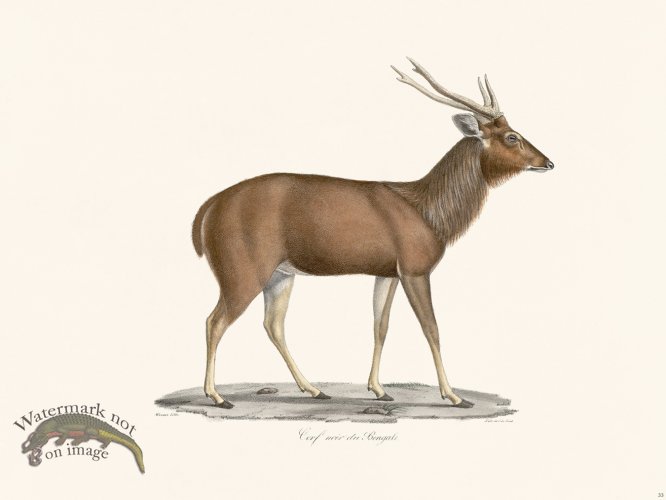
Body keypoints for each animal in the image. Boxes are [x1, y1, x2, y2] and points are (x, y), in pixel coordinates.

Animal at [192, 58, 554, 409]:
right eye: (511, 136)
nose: (548, 162)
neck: (430, 213)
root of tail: (207, 210)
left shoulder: (387, 272)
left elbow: (380, 326)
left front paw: (379, 389)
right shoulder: (415, 267)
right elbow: (432, 328)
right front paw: (453, 395)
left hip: (280, 273)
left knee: (272, 324)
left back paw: (314, 389)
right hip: (241, 268)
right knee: (214, 321)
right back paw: (217, 396)